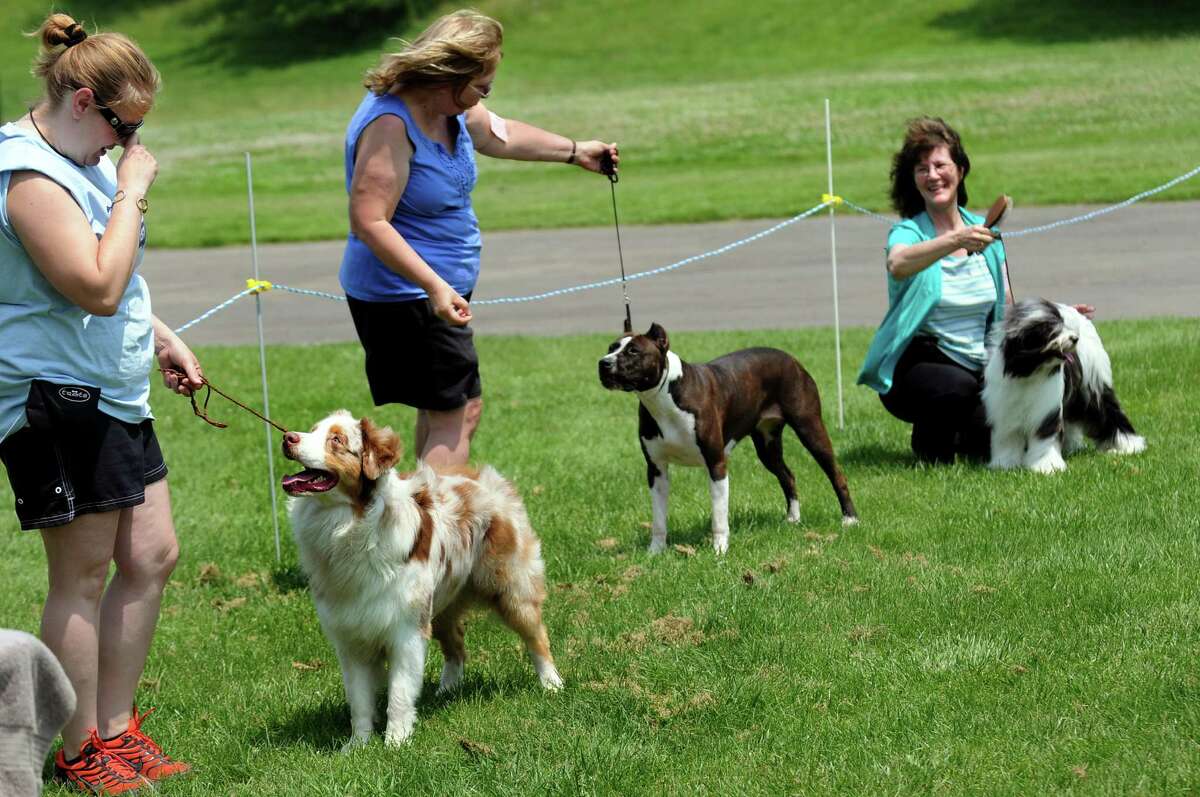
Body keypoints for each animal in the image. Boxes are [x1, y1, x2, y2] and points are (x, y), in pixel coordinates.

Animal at [282, 408, 561, 748]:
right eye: (312, 430)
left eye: (337, 440)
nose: (288, 438)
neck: (349, 526)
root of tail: (487, 477)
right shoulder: (351, 635)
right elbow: (359, 700)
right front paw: (358, 746)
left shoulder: (406, 630)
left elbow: (400, 693)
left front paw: (396, 743)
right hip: (439, 605)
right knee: (456, 644)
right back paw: (447, 689)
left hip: (510, 589)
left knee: (537, 636)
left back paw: (552, 684)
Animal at [595, 324, 859, 554]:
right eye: (610, 347)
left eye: (633, 351)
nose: (603, 363)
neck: (663, 398)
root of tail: (791, 359)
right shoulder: (656, 470)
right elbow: (659, 519)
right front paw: (655, 552)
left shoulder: (716, 464)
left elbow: (719, 516)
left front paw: (719, 550)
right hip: (767, 445)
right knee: (788, 476)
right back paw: (793, 518)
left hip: (810, 428)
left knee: (837, 474)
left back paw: (850, 519)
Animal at [984, 298, 1142, 472]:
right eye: (1051, 330)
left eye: (1062, 325)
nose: (1074, 338)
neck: (1029, 372)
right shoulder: (1006, 411)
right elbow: (1008, 438)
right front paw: (1005, 464)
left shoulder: (1046, 409)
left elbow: (1045, 436)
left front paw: (1047, 466)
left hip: (1092, 387)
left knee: (1109, 411)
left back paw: (1129, 445)